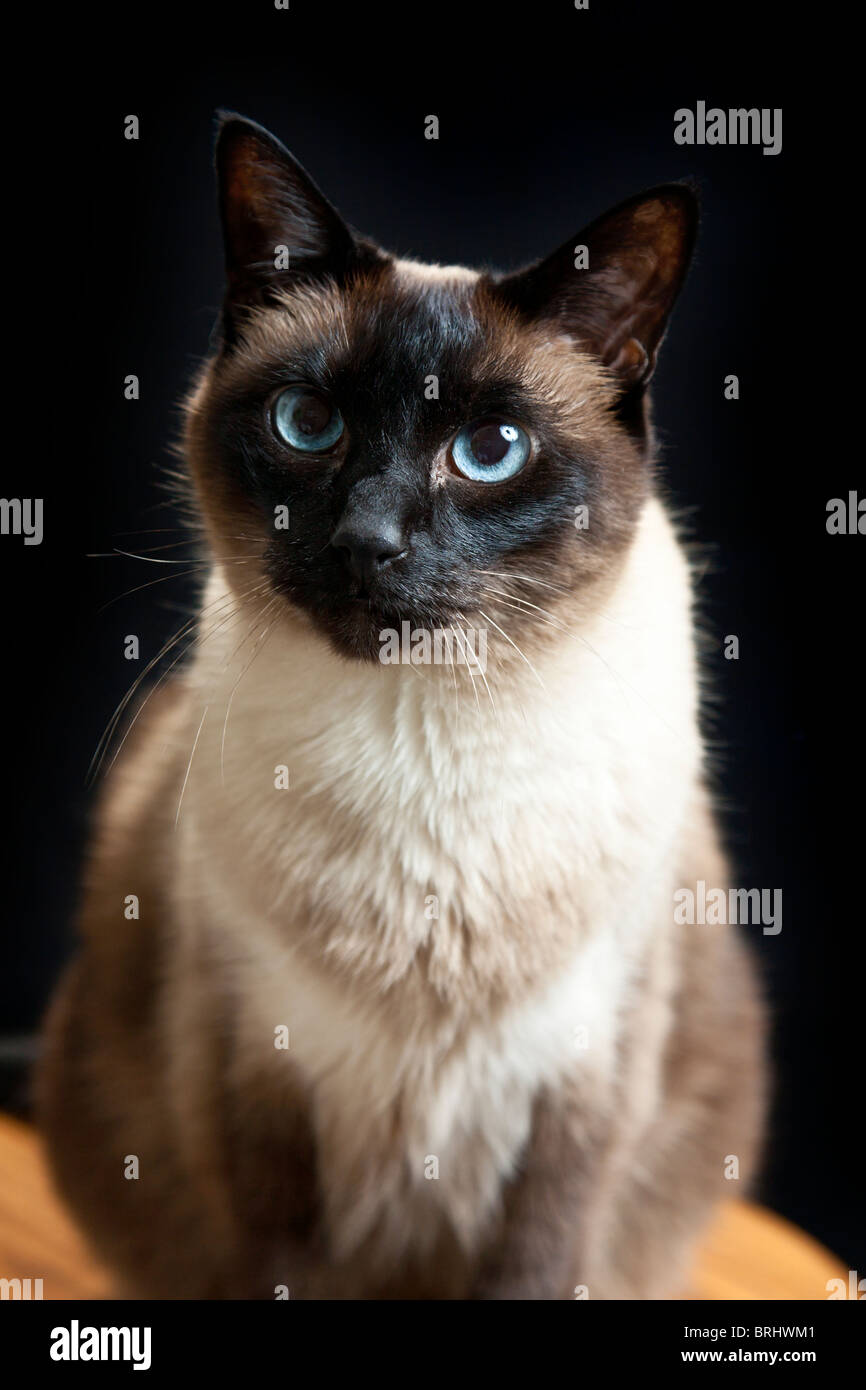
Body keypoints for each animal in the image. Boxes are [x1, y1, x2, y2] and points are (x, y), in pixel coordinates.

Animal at [37, 113, 767, 1295]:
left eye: (489, 452)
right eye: (306, 423)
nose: (366, 542)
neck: (418, 738)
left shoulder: (578, 1095)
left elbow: (539, 1267)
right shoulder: (257, 1077)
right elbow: (279, 1265)